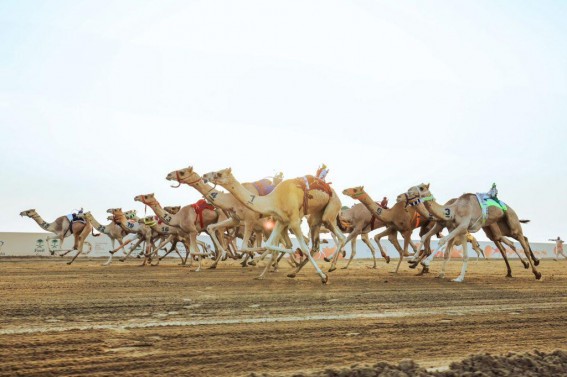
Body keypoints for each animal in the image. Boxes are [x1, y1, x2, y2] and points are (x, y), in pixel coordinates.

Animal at [203, 167, 346, 282]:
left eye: (219, 173)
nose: (205, 175)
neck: (273, 200)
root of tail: (331, 190)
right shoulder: (281, 221)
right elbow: (269, 244)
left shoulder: (294, 221)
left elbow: (303, 248)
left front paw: (323, 277)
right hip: (315, 217)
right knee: (317, 243)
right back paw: (294, 272)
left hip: (330, 210)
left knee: (340, 236)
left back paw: (331, 266)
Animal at [406, 184, 544, 280]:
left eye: (421, 187)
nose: (408, 192)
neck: (452, 210)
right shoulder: (451, 227)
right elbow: (429, 239)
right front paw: (413, 260)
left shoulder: (459, 226)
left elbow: (442, 241)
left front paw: (425, 262)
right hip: (500, 228)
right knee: (515, 241)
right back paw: (522, 267)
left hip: (511, 222)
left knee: (521, 242)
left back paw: (536, 272)